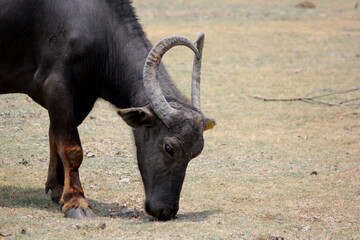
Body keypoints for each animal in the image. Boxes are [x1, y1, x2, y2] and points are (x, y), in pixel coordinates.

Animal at [0, 0, 214, 220]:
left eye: (196, 152)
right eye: (169, 148)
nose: (166, 211)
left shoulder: (82, 99)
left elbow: (55, 138)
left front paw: (58, 189)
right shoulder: (57, 87)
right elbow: (72, 149)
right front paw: (76, 202)